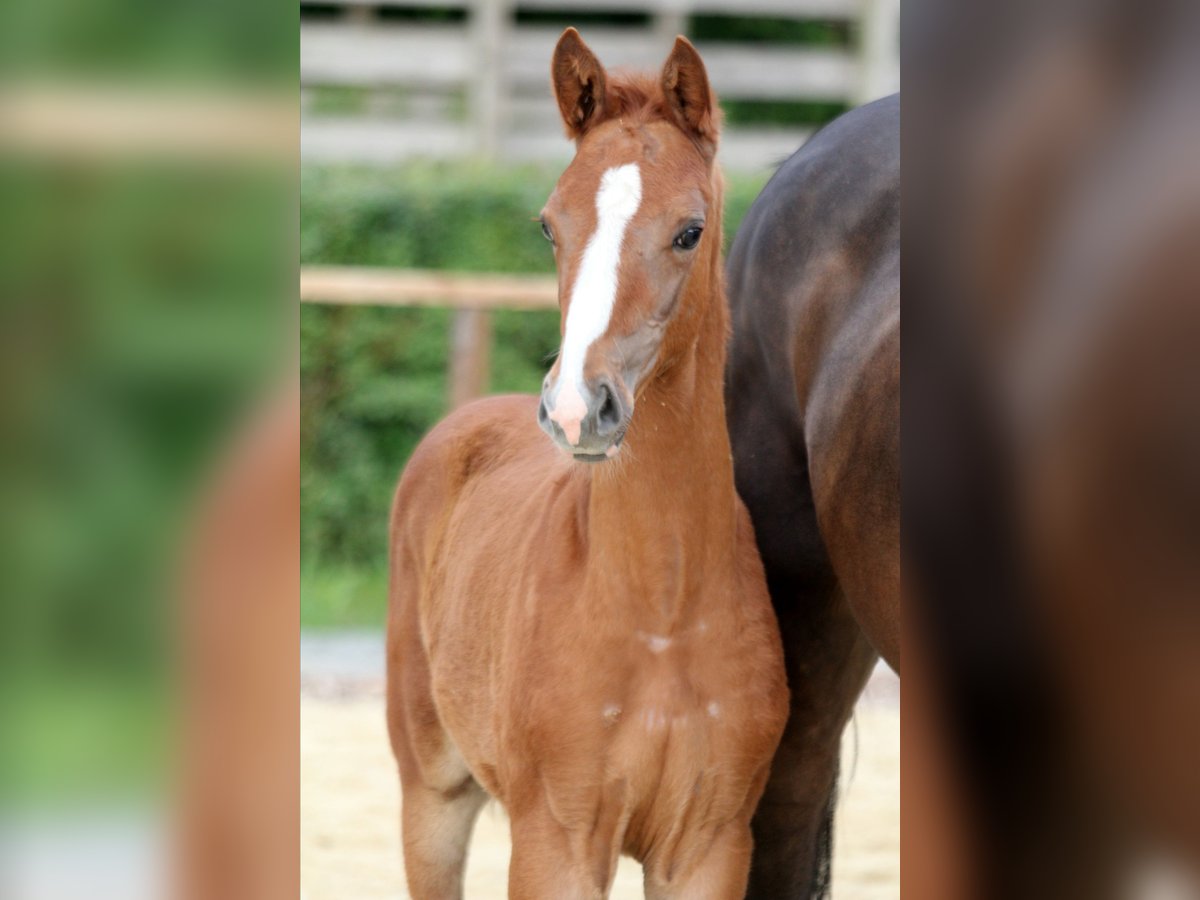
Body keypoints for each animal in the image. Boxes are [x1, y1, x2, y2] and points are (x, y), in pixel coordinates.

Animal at [384, 31, 792, 897]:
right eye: (549, 225)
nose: (577, 407)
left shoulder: (709, 847)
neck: (661, 610)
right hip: (431, 792)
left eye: (689, 230)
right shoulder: (557, 840)